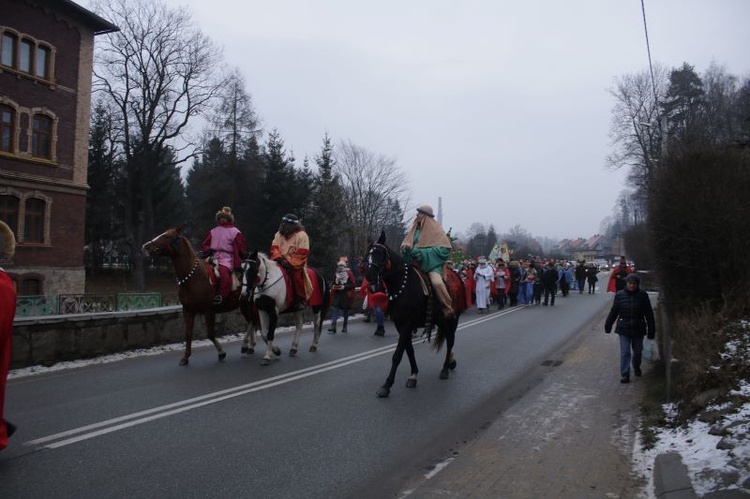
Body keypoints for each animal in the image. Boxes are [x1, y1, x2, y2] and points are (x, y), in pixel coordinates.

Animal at [142, 228, 258, 368]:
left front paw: (221, 352)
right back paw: (250, 346)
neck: (192, 277)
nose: (146, 246)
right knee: (252, 322)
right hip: (244, 305)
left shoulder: (209, 311)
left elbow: (210, 334)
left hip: (250, 304)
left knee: (253, 321)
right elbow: (188, 334)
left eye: (166, 236)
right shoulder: (188, 310)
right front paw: (185, 358)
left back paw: (248, 345)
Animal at [362, 230, 468, 398]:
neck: (402, 284)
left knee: (450, 341)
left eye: (381, 254)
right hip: (441, 320)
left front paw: (386, 385)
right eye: (368, 255)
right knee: (448, 339)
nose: (370, 276)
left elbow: (397, 354)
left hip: (452, 318)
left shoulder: (407, 324)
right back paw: (451, 362)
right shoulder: (400, 325)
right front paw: (413, 375)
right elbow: (409, 350)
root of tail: (456, 275)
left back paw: (445, 368)